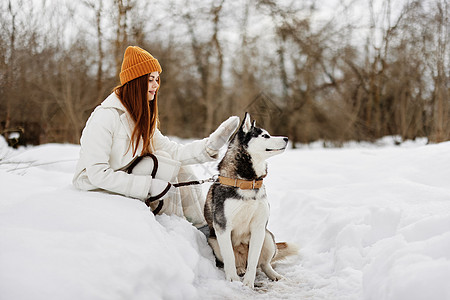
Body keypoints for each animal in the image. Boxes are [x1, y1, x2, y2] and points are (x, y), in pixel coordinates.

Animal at [205, 112, 298, 288]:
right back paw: (239, 270)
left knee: (264, 264)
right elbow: (229, 257)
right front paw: (233, 280)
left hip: (267, 237)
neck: (247, 182)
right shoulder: (222, 227)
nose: (286, 138)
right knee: (235, 261)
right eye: (265, 135)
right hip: (213, 241)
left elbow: (254, 260)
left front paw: (248, 282)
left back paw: (275, 276)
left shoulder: (259, 227)